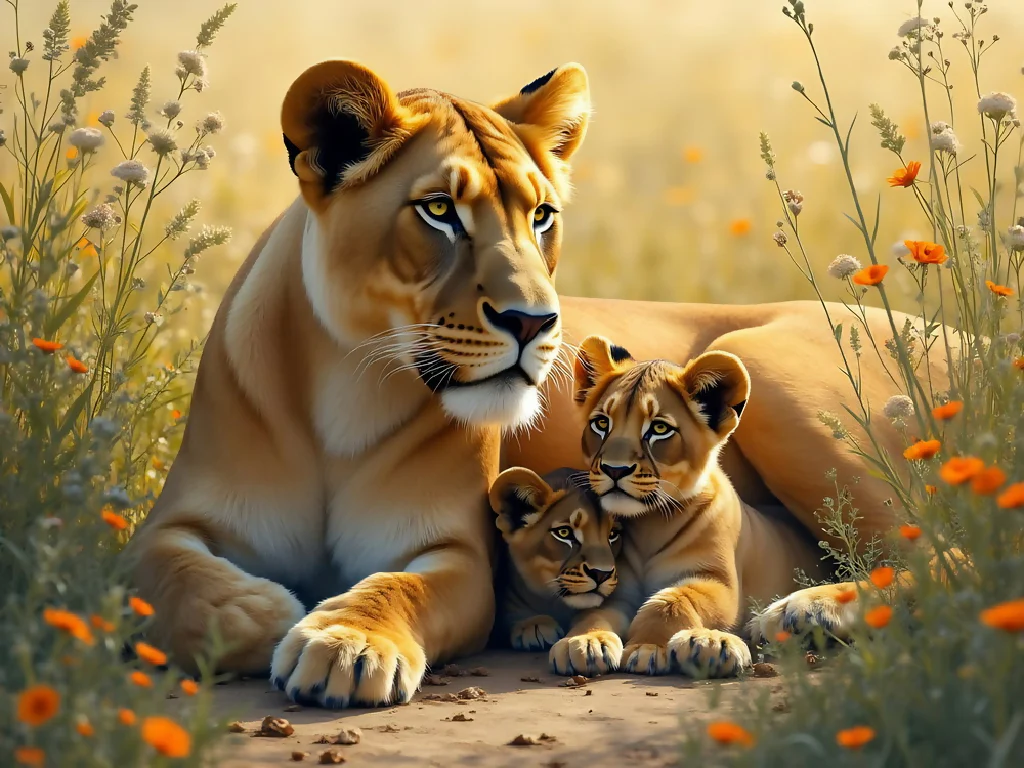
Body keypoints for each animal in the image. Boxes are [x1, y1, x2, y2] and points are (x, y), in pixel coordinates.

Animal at [489, 467, 626, 675]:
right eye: (564, 533)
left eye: (613, 534)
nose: (601, 574)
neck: (556, 602)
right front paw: (535, 625)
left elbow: (595, 616)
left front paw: (589, 643)